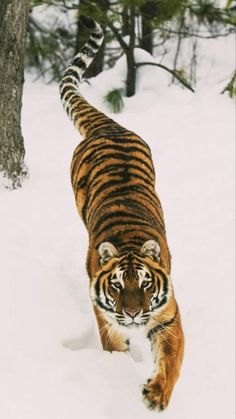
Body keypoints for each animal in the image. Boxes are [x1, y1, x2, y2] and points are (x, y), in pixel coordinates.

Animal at [59, 14, 184, 412]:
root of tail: (108, 124)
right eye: (116, 285)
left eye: (145, 284)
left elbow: (171, 360)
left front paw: (157, 395)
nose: (130, 314)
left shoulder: (169, 317)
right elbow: (115, 348)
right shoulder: (108, 320)